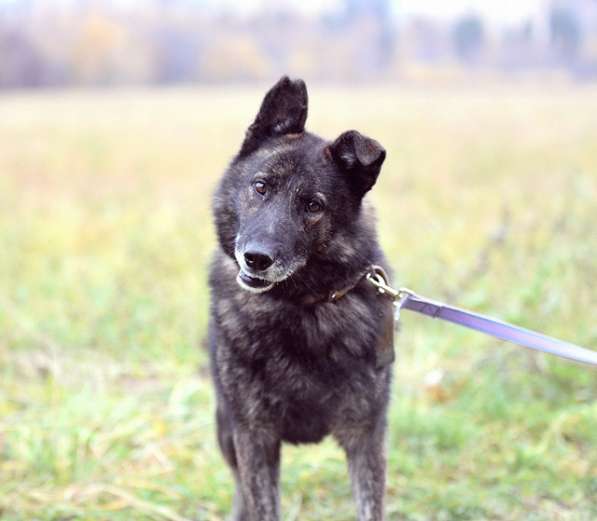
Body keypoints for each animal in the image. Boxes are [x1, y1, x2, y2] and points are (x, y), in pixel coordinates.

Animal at [207, 77, 394, 520]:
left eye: (312, 205)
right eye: (261, 187)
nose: (256, 258)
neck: (301, 305)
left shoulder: (366, 436)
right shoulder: (254, 436)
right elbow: (261, 505)